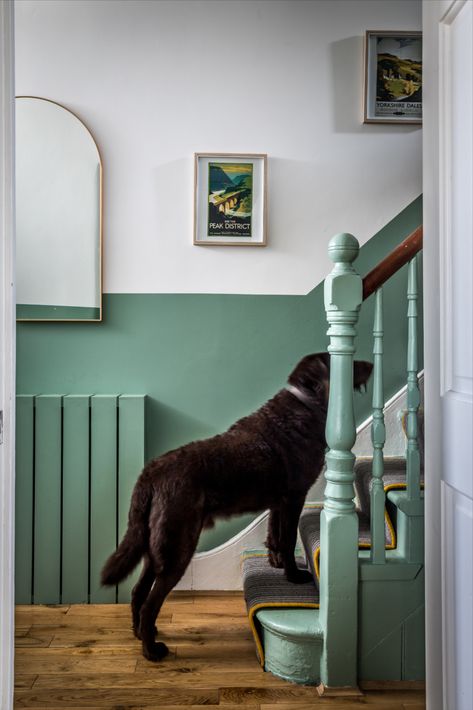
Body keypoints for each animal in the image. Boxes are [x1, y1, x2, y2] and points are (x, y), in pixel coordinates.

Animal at [101, 354, 370, 664]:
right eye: (345, 361)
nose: (372, 365)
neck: (305, 404)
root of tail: (151, 472)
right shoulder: (294, 497)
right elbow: (288, 539)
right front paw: (292, 576)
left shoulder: (278, 502)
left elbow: (274, 536)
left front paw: (276, 564)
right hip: (177, 545)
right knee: (150, 602)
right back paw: (151, 650)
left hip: (153, 545)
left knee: (138, 591)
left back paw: (140, 633)